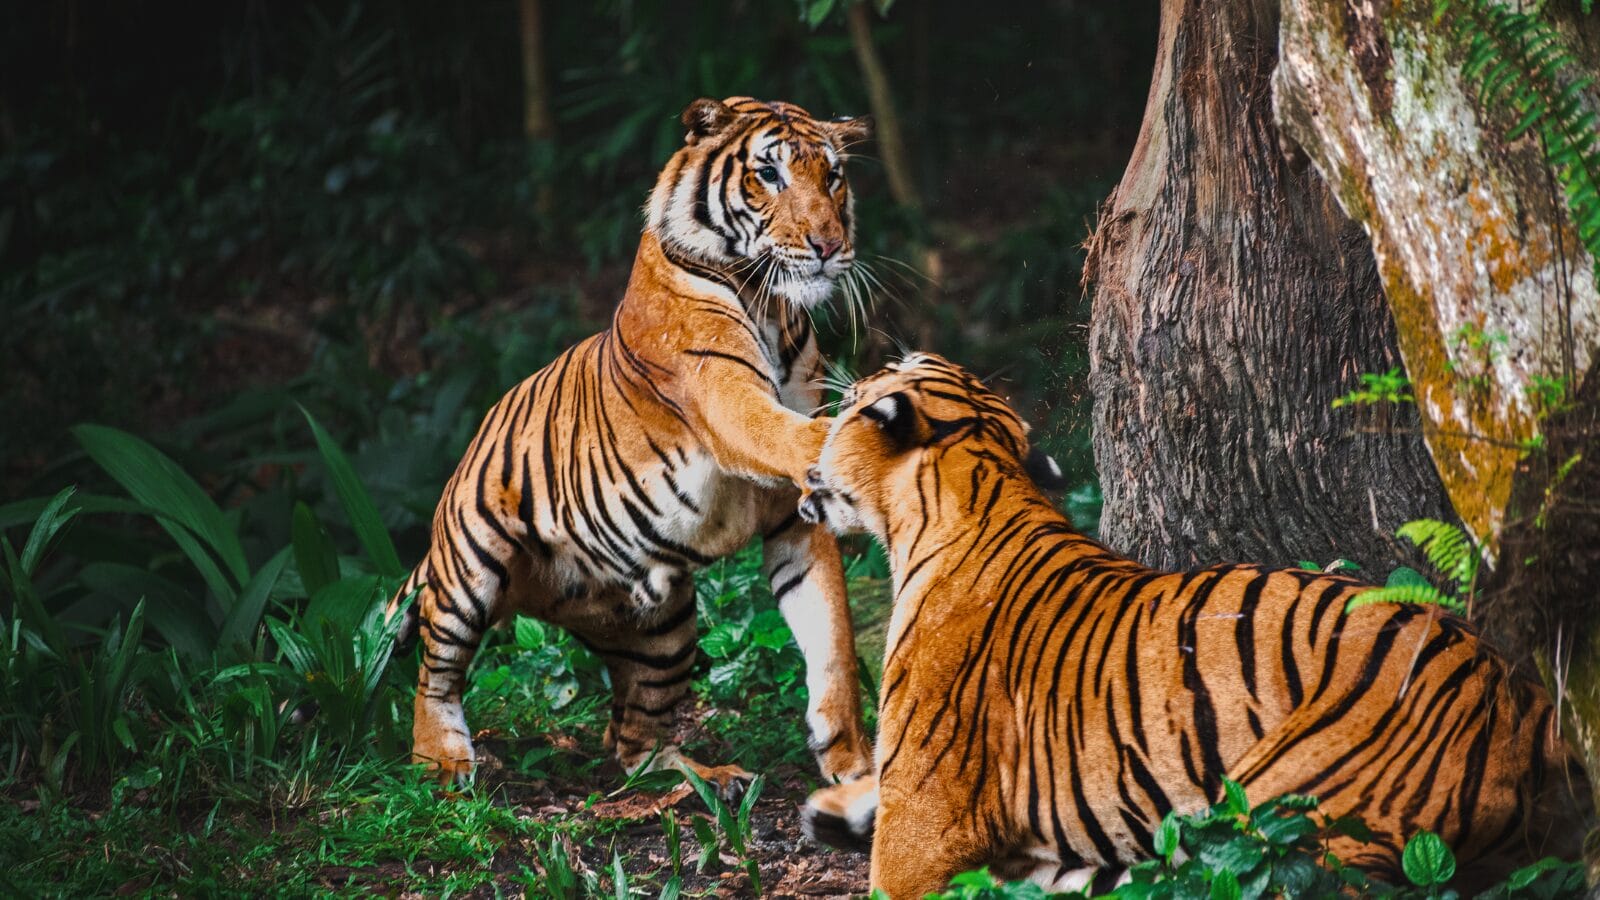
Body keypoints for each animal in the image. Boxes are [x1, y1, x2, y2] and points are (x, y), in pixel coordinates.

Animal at [386, 97, 876, 793]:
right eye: (770, 174)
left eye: (833, 177)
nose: (829, 246)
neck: (774, 308)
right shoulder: (725, 397)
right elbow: (783, 431)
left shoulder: (794, 520)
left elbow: (831, 637)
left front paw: (853, 767)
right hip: (471, 565)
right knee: (436, 668)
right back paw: (443, 762)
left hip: (665, 626)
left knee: (632, 742)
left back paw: (708, 778)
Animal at [794, 353, 1590, 897]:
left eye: (855, 400)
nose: (820, 420)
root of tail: (1522, 700)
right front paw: (834, 808)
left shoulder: (924, 837)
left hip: (1292, 826)